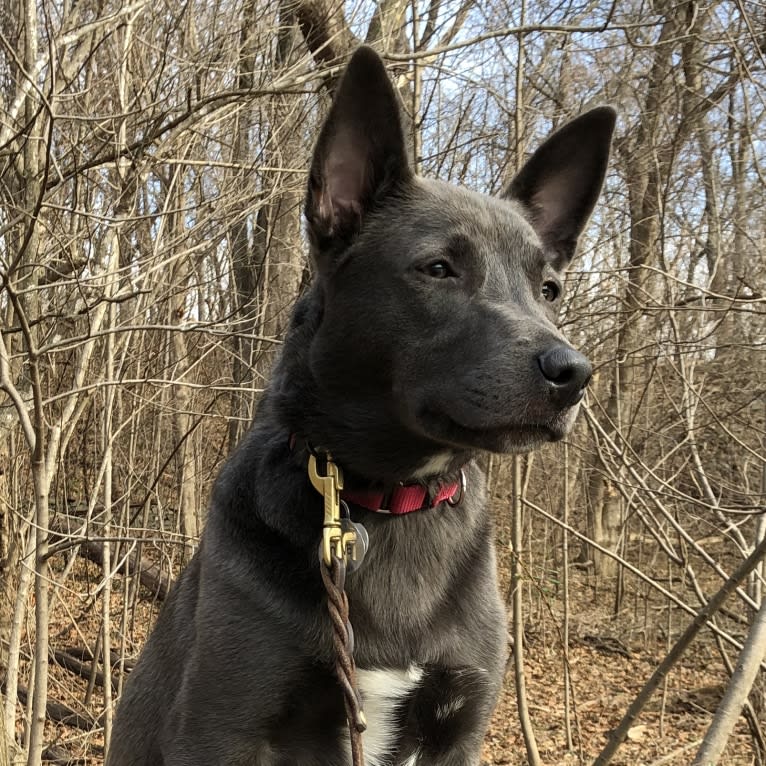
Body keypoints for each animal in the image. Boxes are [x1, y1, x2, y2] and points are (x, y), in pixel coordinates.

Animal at [108, 45, 616, 764]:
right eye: (438, 269)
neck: (391, 502)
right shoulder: (219, 726)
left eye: (549, 288)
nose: (572, 374)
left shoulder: (458, 731)